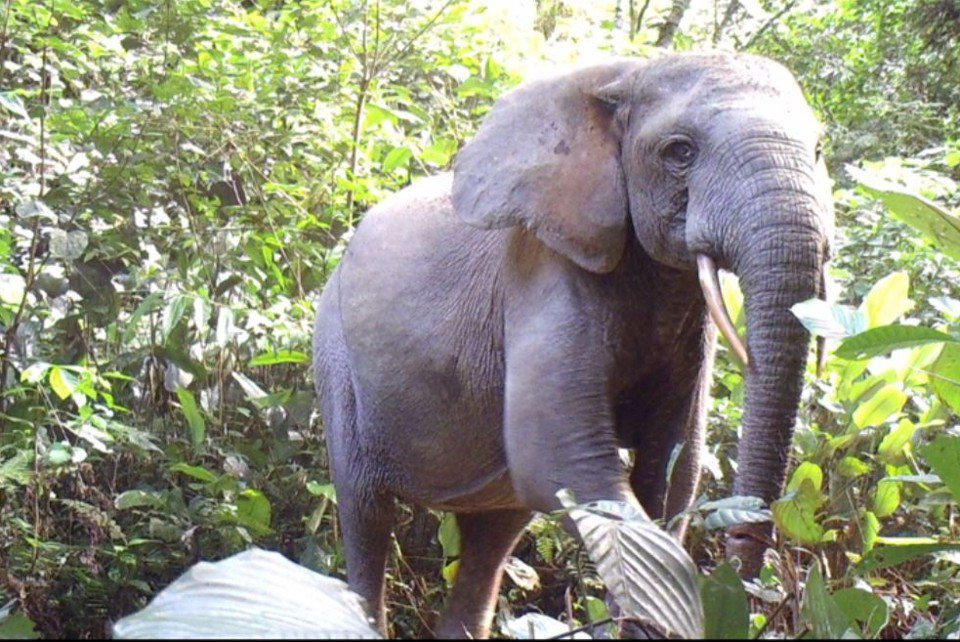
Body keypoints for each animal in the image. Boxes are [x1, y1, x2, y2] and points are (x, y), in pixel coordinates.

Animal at [312, 51, 833, 638]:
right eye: (680, 152)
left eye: (818, 150)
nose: (739, 547)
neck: (623, 75)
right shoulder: (542, 271)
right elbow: (561, 457)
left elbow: (672, 468)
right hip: (335, 354)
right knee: (366, 509)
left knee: (493, 534)